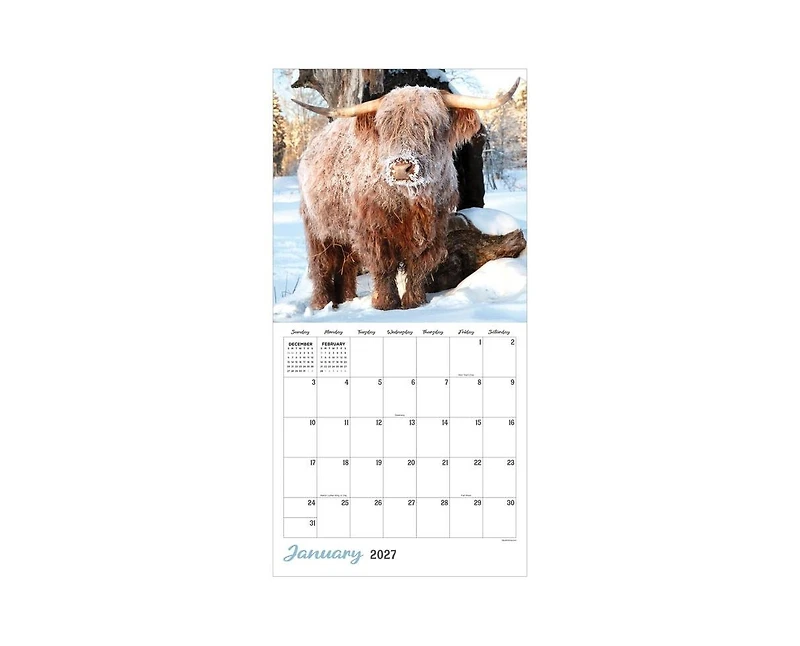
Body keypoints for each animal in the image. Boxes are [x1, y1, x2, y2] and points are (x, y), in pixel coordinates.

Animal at [293, 79, 520, 310]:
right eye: (386, 128)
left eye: (432, 126)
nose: (401, 168)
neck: (410, 201)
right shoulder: (373, 230)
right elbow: (383, 267)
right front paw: (385, 303)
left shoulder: (432, 229)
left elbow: (419, 266)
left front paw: (414, 302)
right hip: (318, 230)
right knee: (322, 266)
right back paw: (321, 303)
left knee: (346, 265)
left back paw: (347, 299)